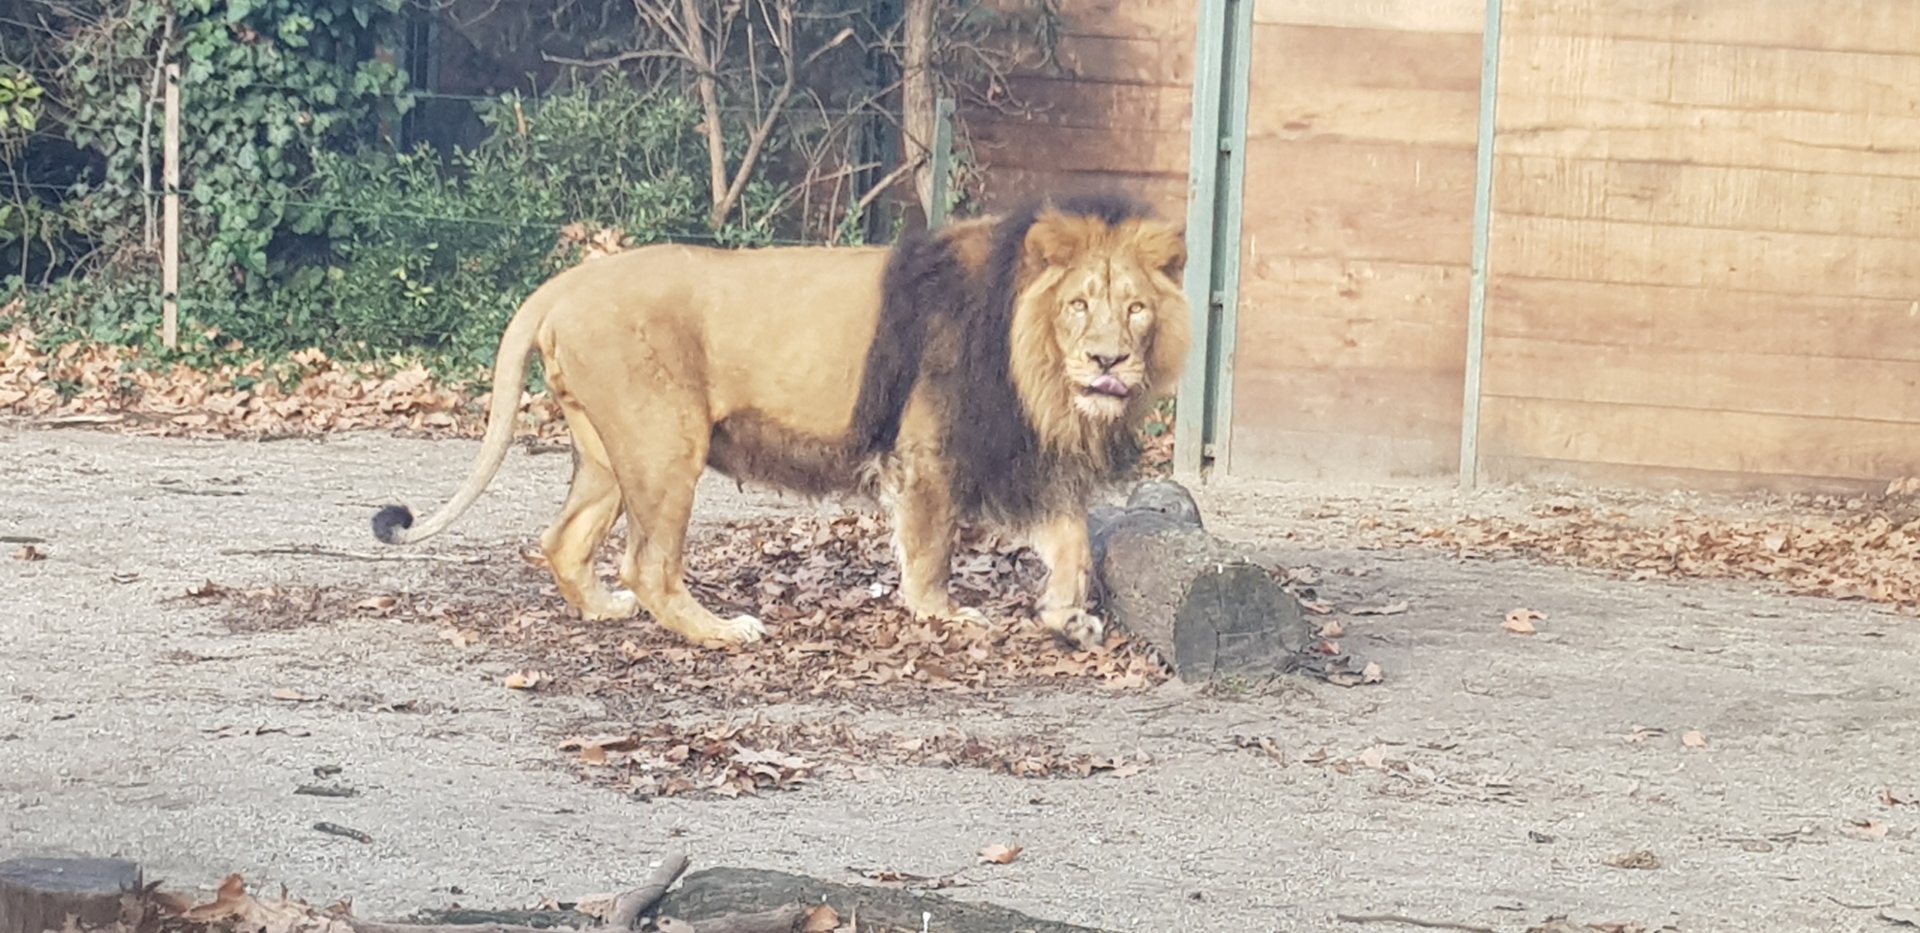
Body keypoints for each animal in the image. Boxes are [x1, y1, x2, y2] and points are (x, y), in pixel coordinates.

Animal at [371, 192, 1190, 651]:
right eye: (1079, 304)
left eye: (1136, 309)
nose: (1110, 361)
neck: (1036, 368)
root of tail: (566, 281)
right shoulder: (929, 453)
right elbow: (931, 551)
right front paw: (946, 617)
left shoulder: (1016, 457)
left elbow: (1072, 539)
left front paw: (1069, 619)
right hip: (666, 443)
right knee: (648, 563)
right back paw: (720, 632)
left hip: (608, 452)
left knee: (564, 541)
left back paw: (604, 610)